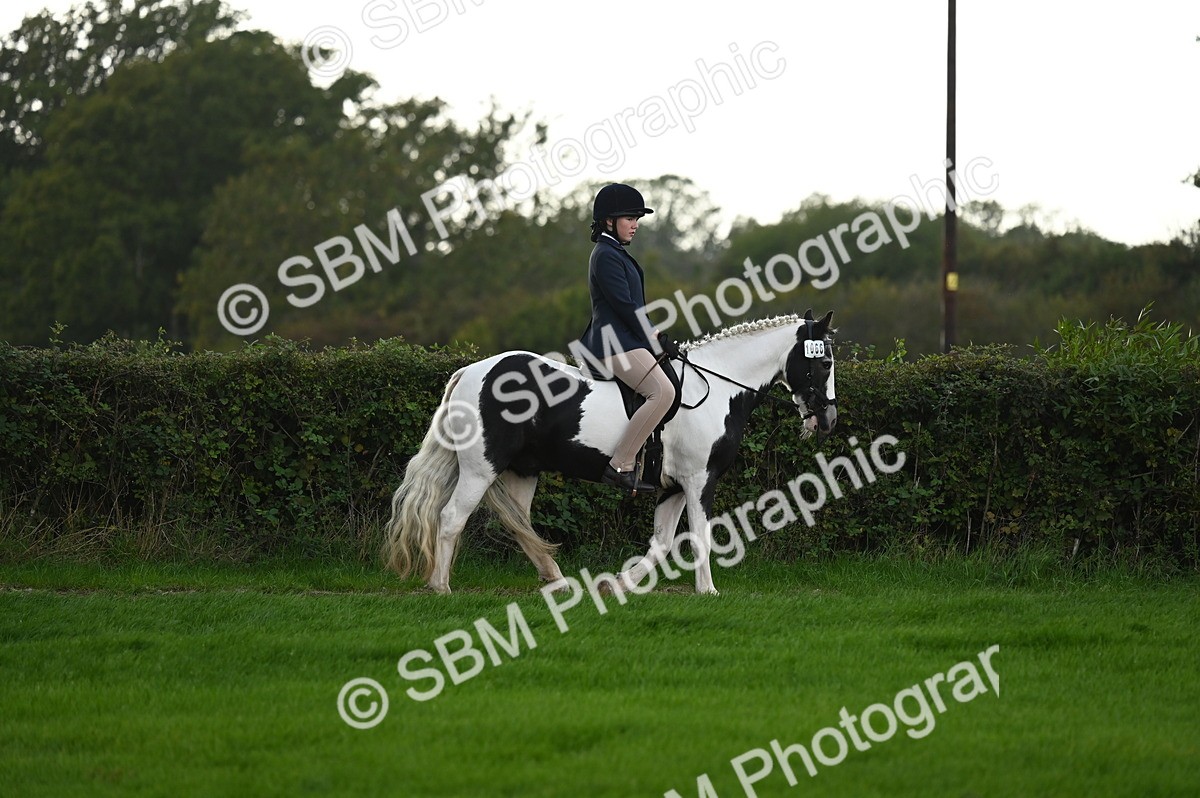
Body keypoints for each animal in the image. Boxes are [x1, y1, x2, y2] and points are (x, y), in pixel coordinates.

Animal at [383, 310, 837, 595]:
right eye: (825, 363)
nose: (828, 419)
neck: (718, 387)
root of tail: (471, 371)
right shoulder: (698, 481)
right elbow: (700, 538)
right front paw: (708, 590)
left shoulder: (673, 487)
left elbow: (661, 544)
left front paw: (617, 584)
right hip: (481, 468)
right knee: (451, 518)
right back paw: (441, 586)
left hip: (522, 472)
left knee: (519, 524)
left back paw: (557, 580)